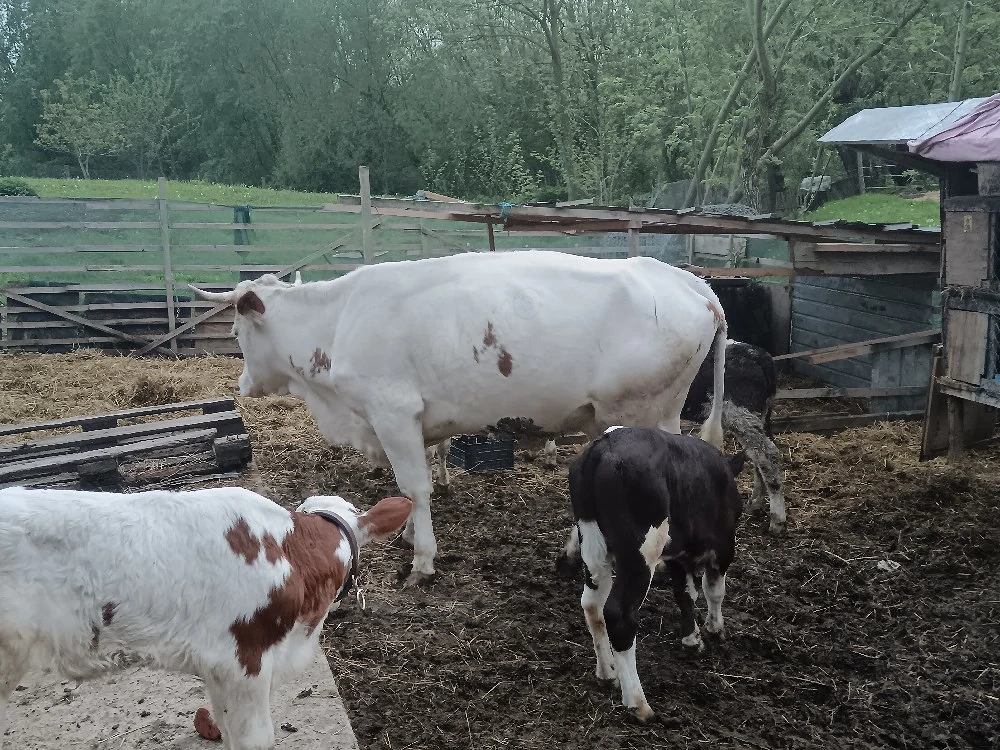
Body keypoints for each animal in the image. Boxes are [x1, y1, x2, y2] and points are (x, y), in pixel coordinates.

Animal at [190, 250, 729, 585]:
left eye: (236, 329)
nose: (242, 385)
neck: (339, 321)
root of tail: (687, 280)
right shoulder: (414, 423)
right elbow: (411, 488)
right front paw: (408, 535)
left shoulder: (393, 412)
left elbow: (414, 487)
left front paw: (422, 559)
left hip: (639, 414)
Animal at [563, 426, 744, 722]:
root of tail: (602, 446)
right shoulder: (724, 545)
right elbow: (713, 590)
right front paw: (714, 628)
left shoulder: (676, 554)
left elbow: (685, 594)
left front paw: (692, 638)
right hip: (640, 554)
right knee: (619, 615)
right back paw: (638, 702)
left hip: (592, 545)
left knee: (591, 605)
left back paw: (607, 673)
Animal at [681, 338, 786, 533]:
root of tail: (760, 355)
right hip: (757, 416)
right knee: (758, 455)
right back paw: (756, 504)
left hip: (739, 413)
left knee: (767, 455)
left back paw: (777, 519)